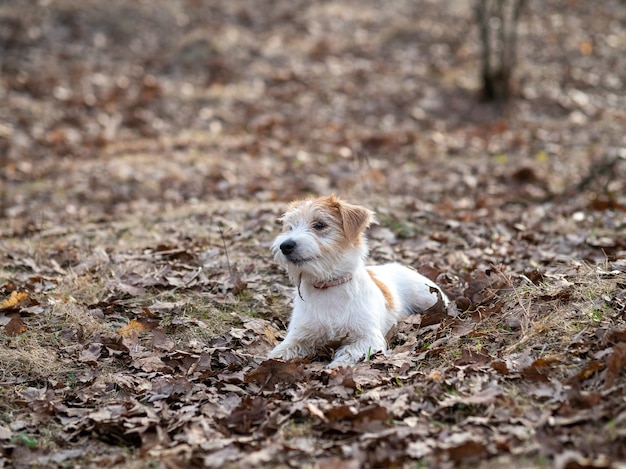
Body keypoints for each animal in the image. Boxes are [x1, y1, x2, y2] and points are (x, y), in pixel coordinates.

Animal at [266, 195, 446, 370]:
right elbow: (281, 351)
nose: (285, 245)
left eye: (320, 224)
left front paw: (336, 367)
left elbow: (350, 352)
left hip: (427, 297)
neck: (328, 286)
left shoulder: (368, 338)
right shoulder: (299, 335)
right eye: (290, 227)